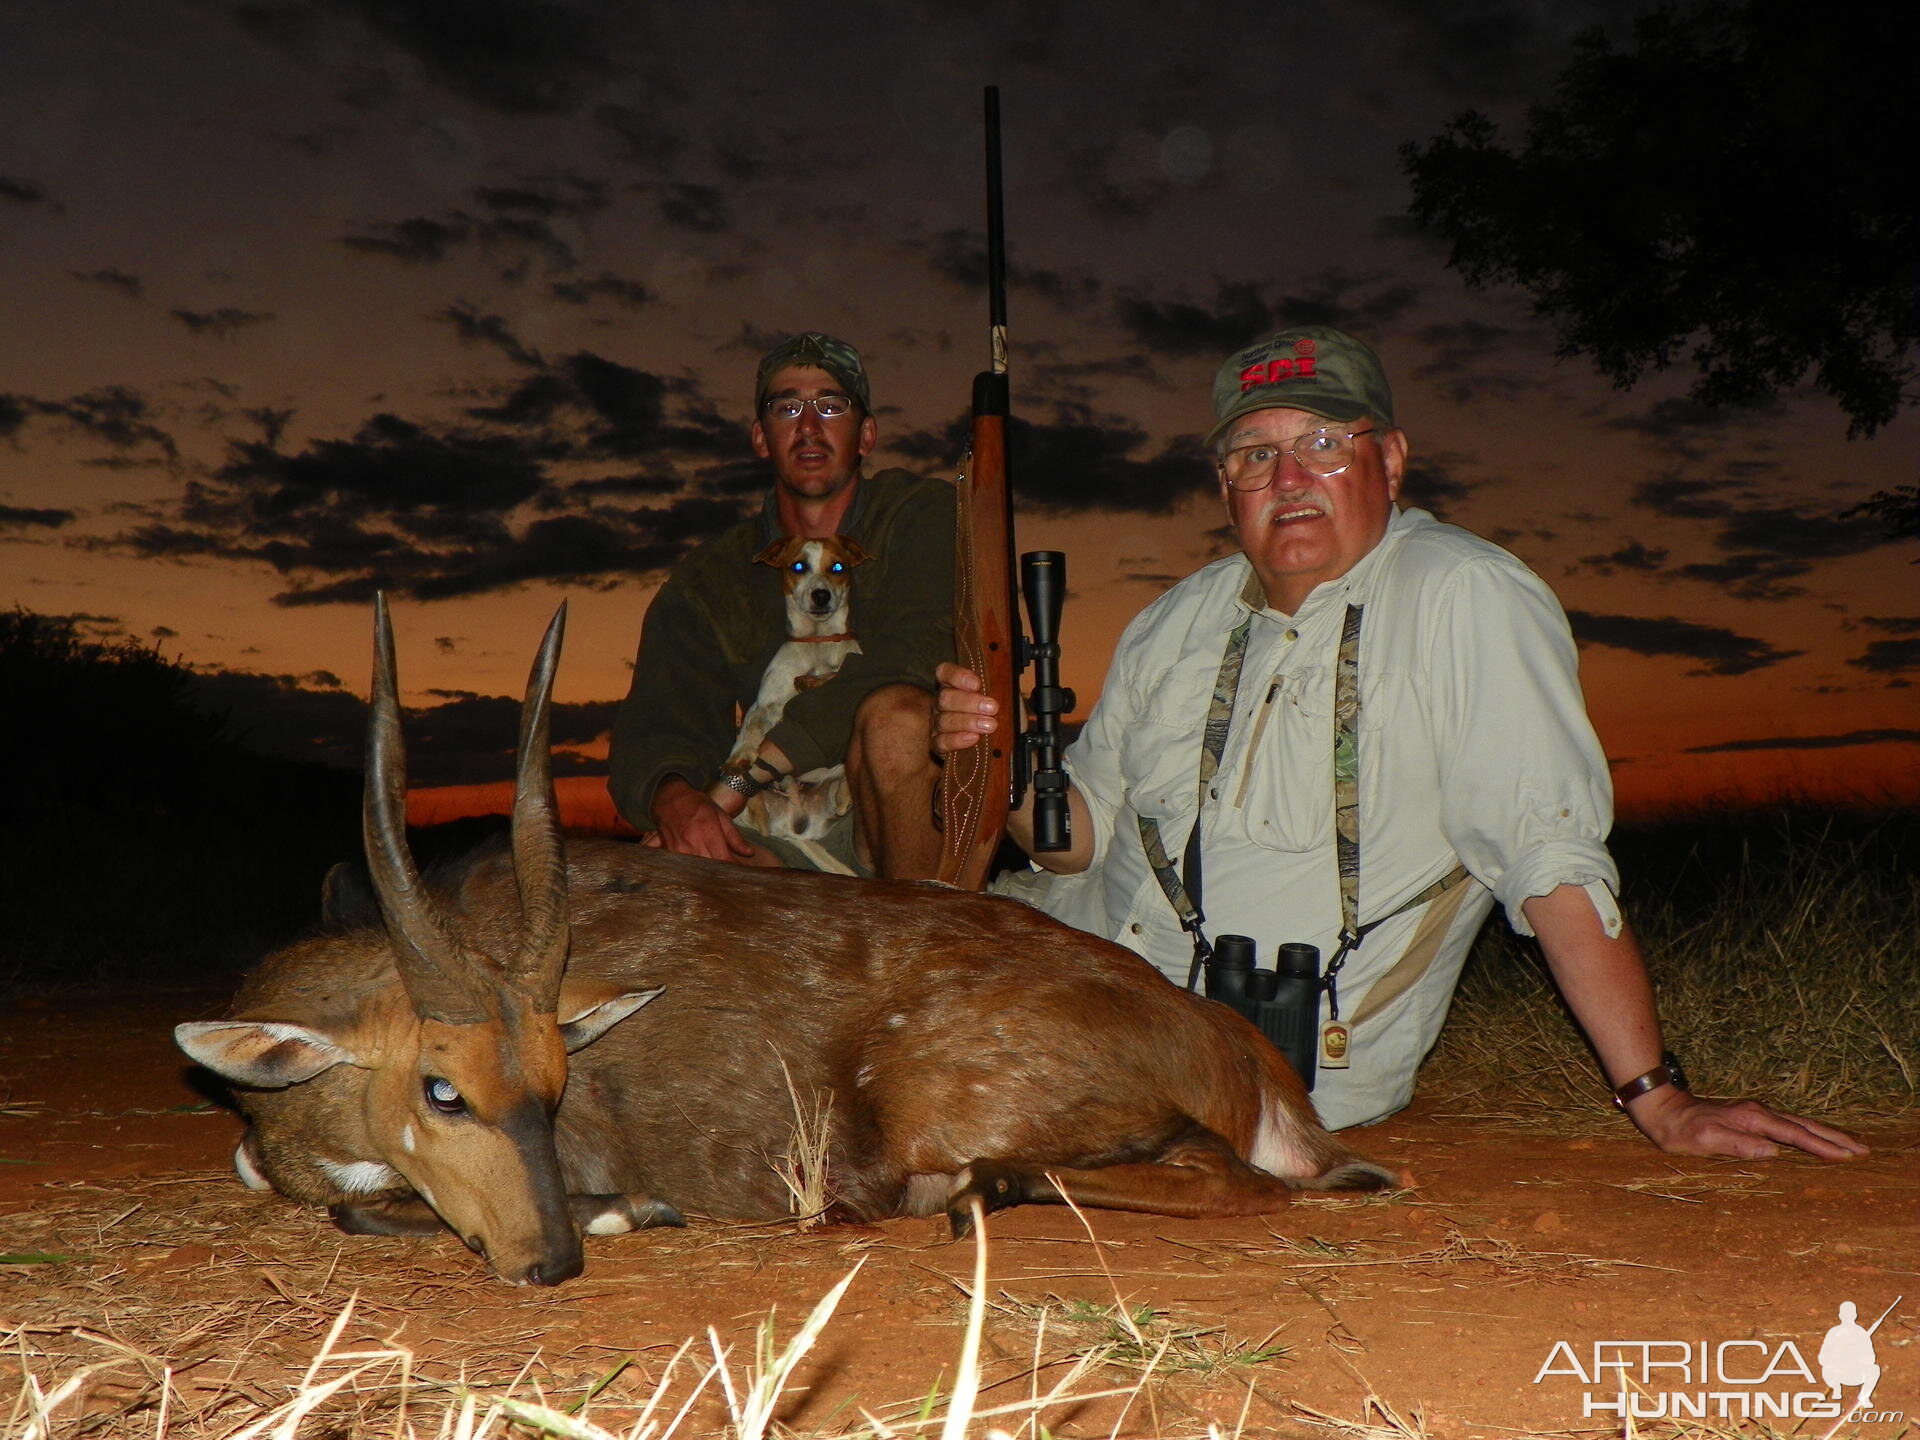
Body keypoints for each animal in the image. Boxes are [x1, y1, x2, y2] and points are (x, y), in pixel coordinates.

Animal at [721, 529, 867, 867]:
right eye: (798, 566)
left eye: (838, 567)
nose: (821, 595)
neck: (818, 640)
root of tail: (794, 825)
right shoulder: (765, 704)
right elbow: (752, 731)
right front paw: (739, 757)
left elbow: (833, 677)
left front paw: (813, 681)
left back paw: (844, 795)